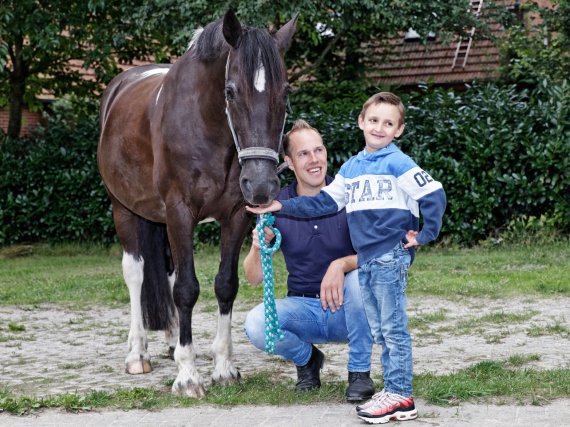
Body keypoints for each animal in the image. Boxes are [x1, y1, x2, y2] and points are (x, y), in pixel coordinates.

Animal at [96, 10, 298, 398]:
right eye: (230, 91)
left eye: (286, 93)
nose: (261, 186)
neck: (207, 128)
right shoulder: (179, 212)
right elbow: (187, 289)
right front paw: (188, 376)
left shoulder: (236, 216)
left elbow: (224, 285)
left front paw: (223, 368)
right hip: (123, 209)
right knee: (136, 273)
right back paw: (138, 353)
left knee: (168, 271)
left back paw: (173, 342)